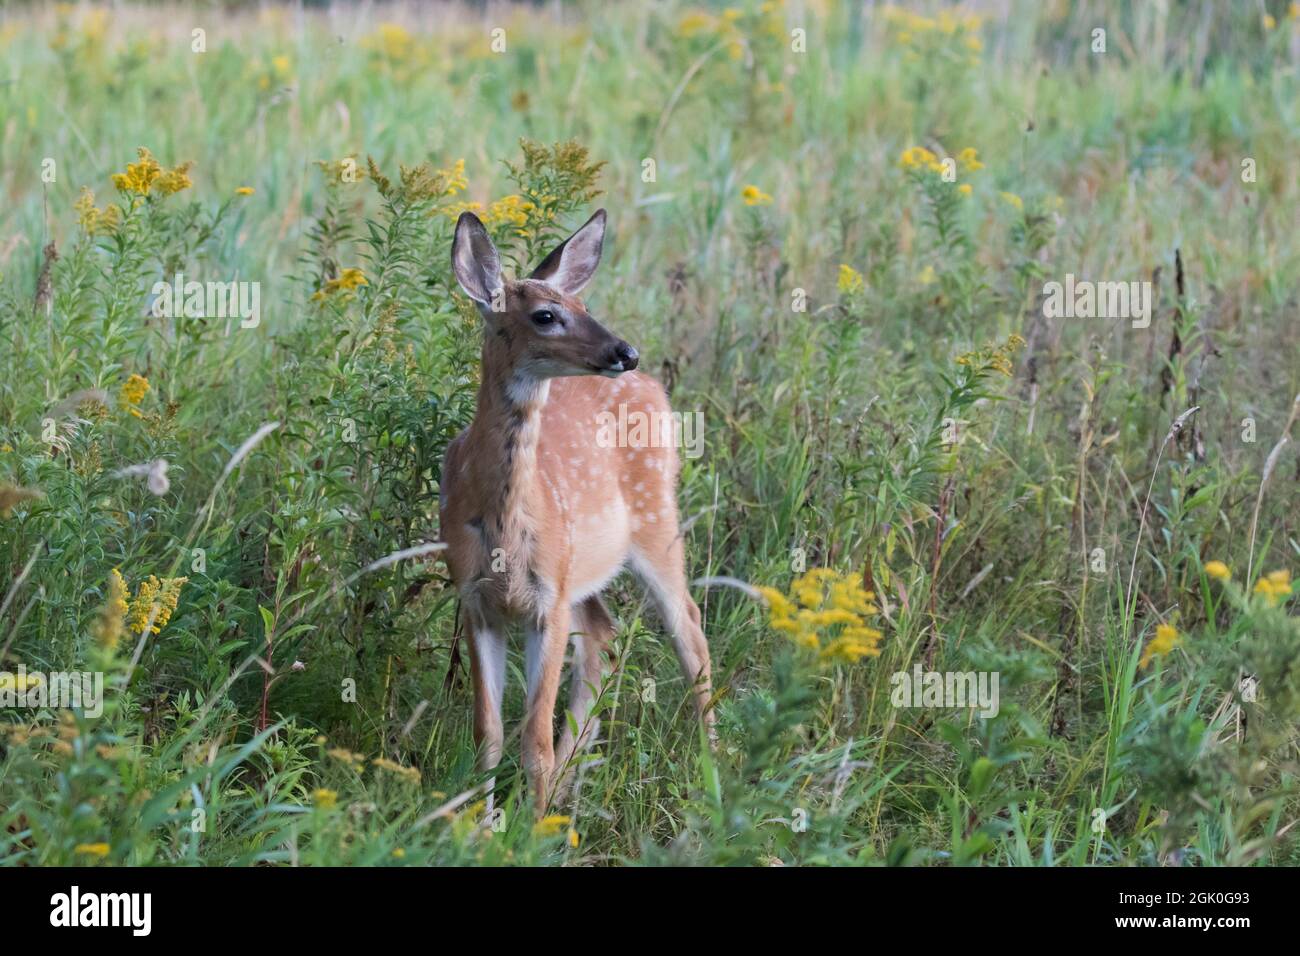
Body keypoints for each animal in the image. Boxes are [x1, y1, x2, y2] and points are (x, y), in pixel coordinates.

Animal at [439, 208, 714, 813]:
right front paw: (482, 821)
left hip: (656, 523)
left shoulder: (548, 601)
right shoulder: (477, 600)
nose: (624, 353)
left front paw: (529, 824)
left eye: (585, 306)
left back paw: (718, 771)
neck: (505, 524)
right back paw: (572, 781)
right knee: (606, 637)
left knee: (691, 630)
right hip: (586, 569)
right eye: (545, 315)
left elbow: (533, 740)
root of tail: (655, 387)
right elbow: (488, 735)